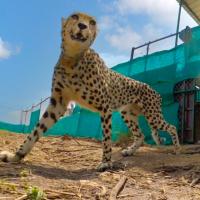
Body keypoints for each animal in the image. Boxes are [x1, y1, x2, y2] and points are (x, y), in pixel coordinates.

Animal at [0, 12, 181, 171]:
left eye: (92, 22)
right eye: (74, 16)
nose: (82, 25)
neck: (72, 59)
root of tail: (153, 89)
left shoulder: (105, 107)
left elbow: (106, 138)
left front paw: (106, 163)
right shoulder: (58, 103)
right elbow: (35, 131)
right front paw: (16, 156)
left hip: (152, 116)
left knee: (172, 126)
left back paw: (177, 149)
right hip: (128, 114)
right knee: (141, 135)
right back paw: (130, 151)